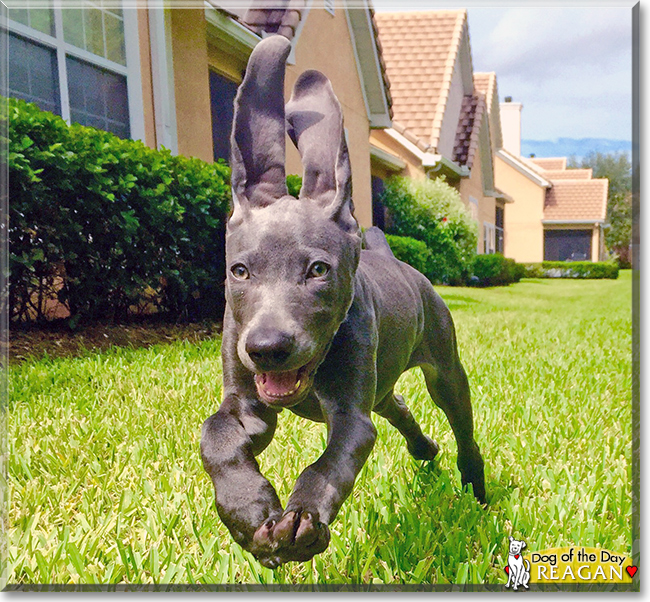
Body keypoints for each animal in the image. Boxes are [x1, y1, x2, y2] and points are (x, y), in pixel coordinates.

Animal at [200, 35, 484, 564]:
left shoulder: (352, 416)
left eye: (318, 271)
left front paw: (302, 520)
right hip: (384, 384)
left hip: (444, 369)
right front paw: (247, 513)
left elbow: (330, 463)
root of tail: (388, 253)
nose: (266, 348)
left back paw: (476, 488)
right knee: (399, 409)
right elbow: (217, 436)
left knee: (461, 427)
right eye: (239, 271)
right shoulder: (247, 405)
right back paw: (425, 451)